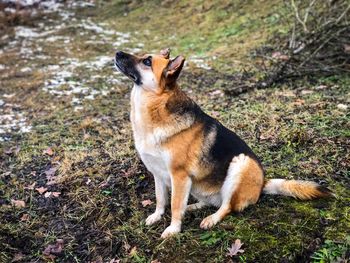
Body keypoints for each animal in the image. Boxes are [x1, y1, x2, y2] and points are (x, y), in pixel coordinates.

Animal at [115, 49, 334, 239]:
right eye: (144, 57)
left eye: (147, 62)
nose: (117, 53)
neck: (156, 105)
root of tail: (263, 183)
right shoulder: (158, 174)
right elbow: (161, 200)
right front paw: (157, 216)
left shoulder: (179, 176)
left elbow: (175, 206)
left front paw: (173, 229)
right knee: (209, 202)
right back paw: (194, 206)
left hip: (240, 164)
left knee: (226, 207)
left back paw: (212, 219)